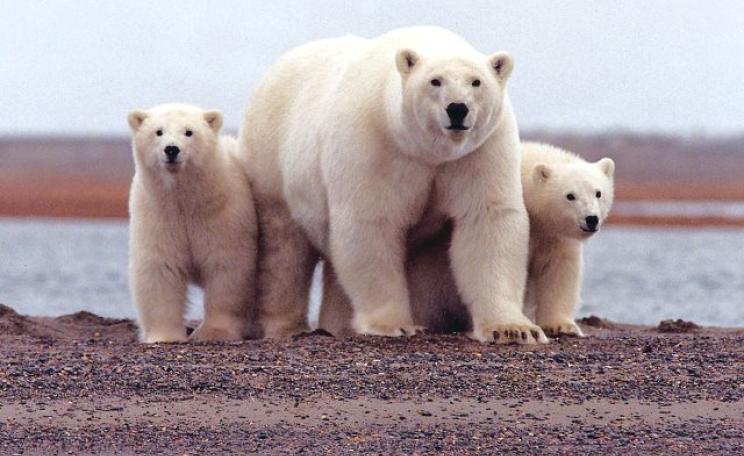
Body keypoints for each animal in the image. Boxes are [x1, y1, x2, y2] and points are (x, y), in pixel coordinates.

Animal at [127, 103, 258, 343]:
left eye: (189, 132)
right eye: (158, 131)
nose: (171, 149)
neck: (186, 201)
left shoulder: (223, 215)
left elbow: (226, 268)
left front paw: (214, 333)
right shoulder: (158, 215)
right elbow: (160, 268)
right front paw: (165, 336)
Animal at [238, 26, 546, 344]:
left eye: (476, 82)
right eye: (435, 81)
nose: (457, 109)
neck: (427, 151)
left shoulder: (479, 151)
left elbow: (487, 219)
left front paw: (513, 329)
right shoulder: (375, 143)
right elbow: (371, 222)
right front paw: (394, 324)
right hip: (271, 160)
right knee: (284, 250)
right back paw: (285, 326)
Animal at [320, 142, 615, 338]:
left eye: (598, 192)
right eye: (570, 195)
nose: (591, 219)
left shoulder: (553, 236)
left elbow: (559, 270)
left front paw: (562, 325)